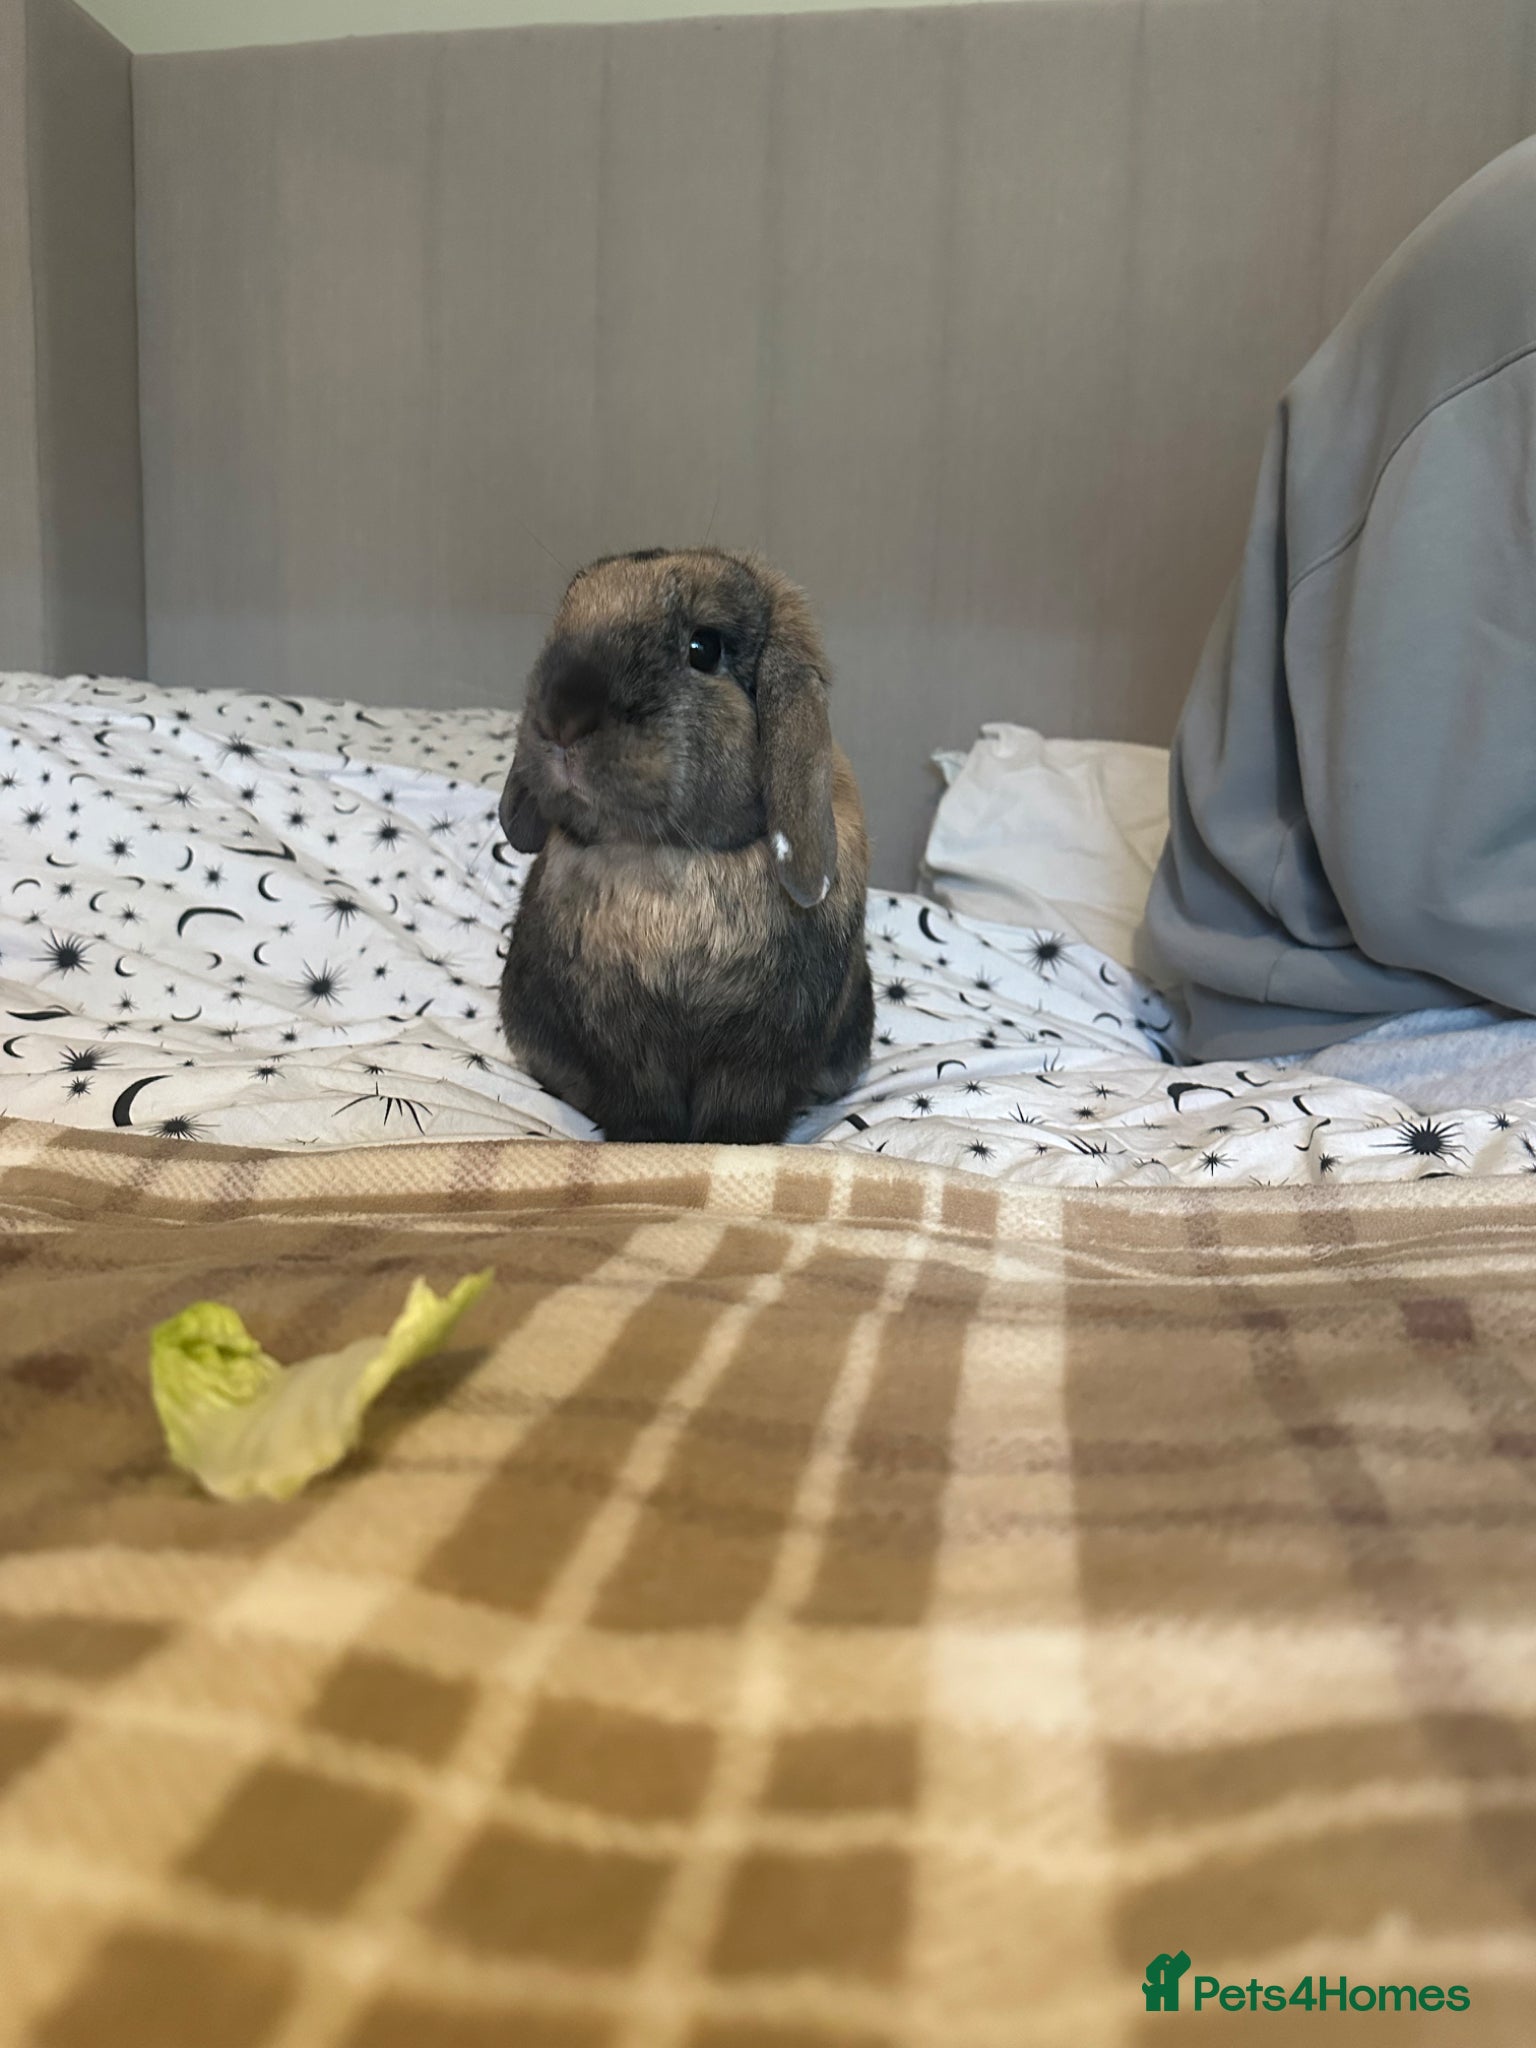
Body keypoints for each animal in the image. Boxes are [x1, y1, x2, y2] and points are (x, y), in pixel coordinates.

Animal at [498, 546, 873, 1144]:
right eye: (563, 623)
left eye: (704, 648)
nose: (561, 718)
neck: (676, 856)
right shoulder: (627, 1051)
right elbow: (642, 1111)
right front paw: (647, 1147)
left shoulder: (757, 1058)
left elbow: (739, 1118)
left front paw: (730, 1147)